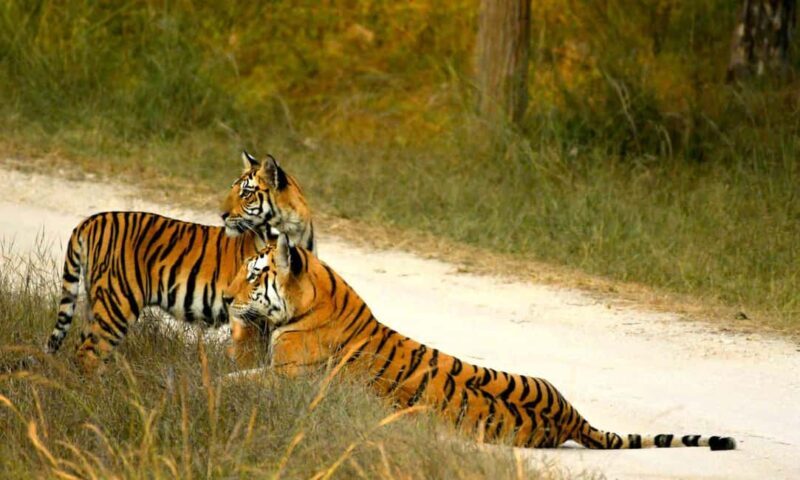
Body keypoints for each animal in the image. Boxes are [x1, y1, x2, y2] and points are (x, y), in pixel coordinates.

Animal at [45, 151, 315, 374]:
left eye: (246, 193)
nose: (222, 215)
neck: (293, 231)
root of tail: (89, 221)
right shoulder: (249, 316)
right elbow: (248, 359)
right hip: (117, 304)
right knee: (88, 354)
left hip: (98, 303)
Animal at [223, 235, 737, 451]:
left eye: (253, 274)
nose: (225, 298)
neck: (316, 299)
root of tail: (573, 419)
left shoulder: (288, 378)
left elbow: (236, 376)